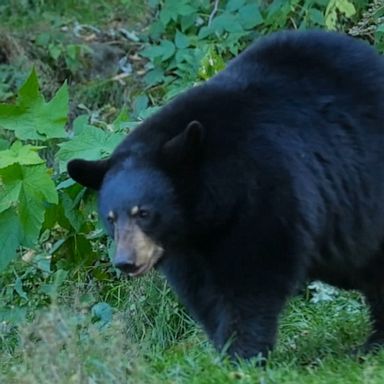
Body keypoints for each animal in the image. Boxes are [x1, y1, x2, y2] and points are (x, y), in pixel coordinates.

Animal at [67, 30, 384, 360]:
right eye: (110, 218)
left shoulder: (266, 189)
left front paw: (243, 352)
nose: (125, 262)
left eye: (144, 212)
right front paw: (223, 348)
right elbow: (202, 294)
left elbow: (252, 275)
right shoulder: (185, 247)